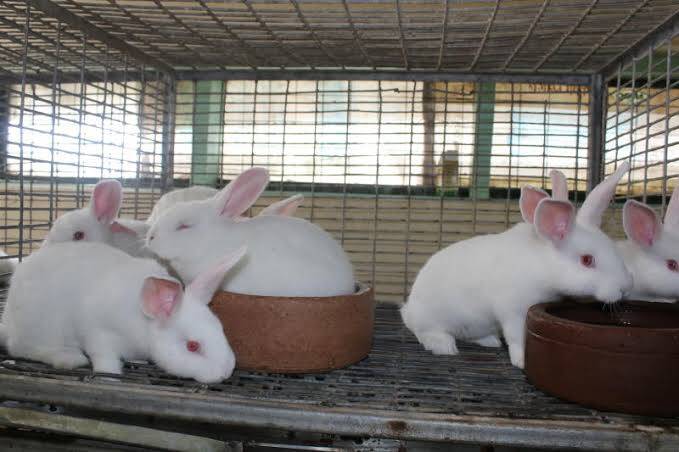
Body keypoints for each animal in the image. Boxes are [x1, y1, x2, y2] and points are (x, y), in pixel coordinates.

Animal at [0, 242, 244, 384]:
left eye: (221, 330)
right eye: (193, 346)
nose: (225, 372)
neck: (144, 320)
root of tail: (8, 323)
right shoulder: (98, 333)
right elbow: (104, 358)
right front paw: (111, 377)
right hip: (43, 329)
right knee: (24, 349)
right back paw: (69, 358)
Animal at [402, 164, 636, 370]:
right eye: (587, 260)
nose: (626, 287)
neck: (542, 264)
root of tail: (409, 307)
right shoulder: (513, 311)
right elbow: (517, 338)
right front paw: (522, 361)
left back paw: (490, 341)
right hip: (430, 318)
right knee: (424, 331)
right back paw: (445, 346)